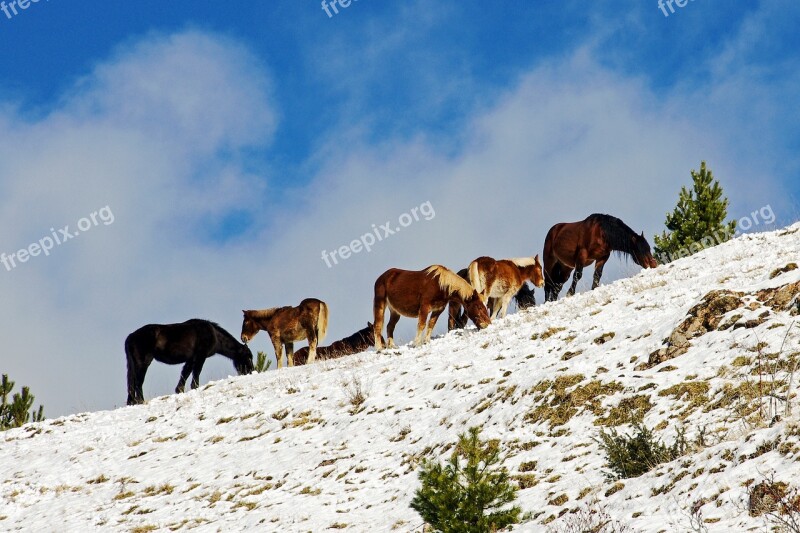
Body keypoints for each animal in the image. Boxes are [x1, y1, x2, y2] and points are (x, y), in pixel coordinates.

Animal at [125, 318, 253, 406]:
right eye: (248, 357)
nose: (251, 371)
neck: (213, 335)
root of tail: (130, 337)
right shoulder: (200, 356)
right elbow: (196, 373)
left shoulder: (191, 359)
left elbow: (185, 373)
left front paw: (179, 390)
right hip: (143, 363)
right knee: (138, 383)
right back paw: (141, 401)